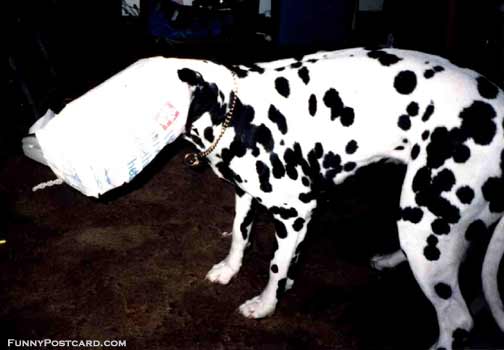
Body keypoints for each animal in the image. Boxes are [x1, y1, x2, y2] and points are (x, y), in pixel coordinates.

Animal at [164, 47, 500, 350]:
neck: (240, 111)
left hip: (425, 228)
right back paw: (389, 259)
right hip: (421, 221)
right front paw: (231, 270)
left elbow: (276, 267)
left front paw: (265, 304)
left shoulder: (294, 213)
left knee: (457, 320)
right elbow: (241, 235)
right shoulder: (252, 197)